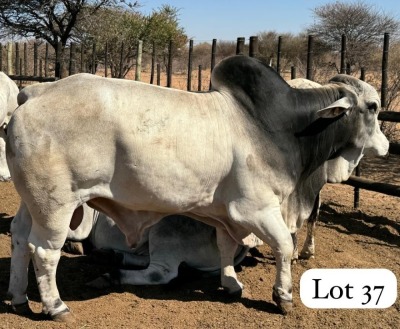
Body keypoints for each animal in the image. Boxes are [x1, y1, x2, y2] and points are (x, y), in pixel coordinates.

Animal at [6, 55, 388, 320]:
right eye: (372, 107)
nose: (385, 146)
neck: (286, 128)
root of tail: (35, 92)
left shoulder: (225, 214)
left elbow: (226, 246)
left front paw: (231, 284)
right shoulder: (256, 208)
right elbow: (283, 246)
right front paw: (283, 297)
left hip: (33, 202)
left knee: (20, 237)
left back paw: (18, 296)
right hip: (57, 205)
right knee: (45, 251)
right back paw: (56, 306)